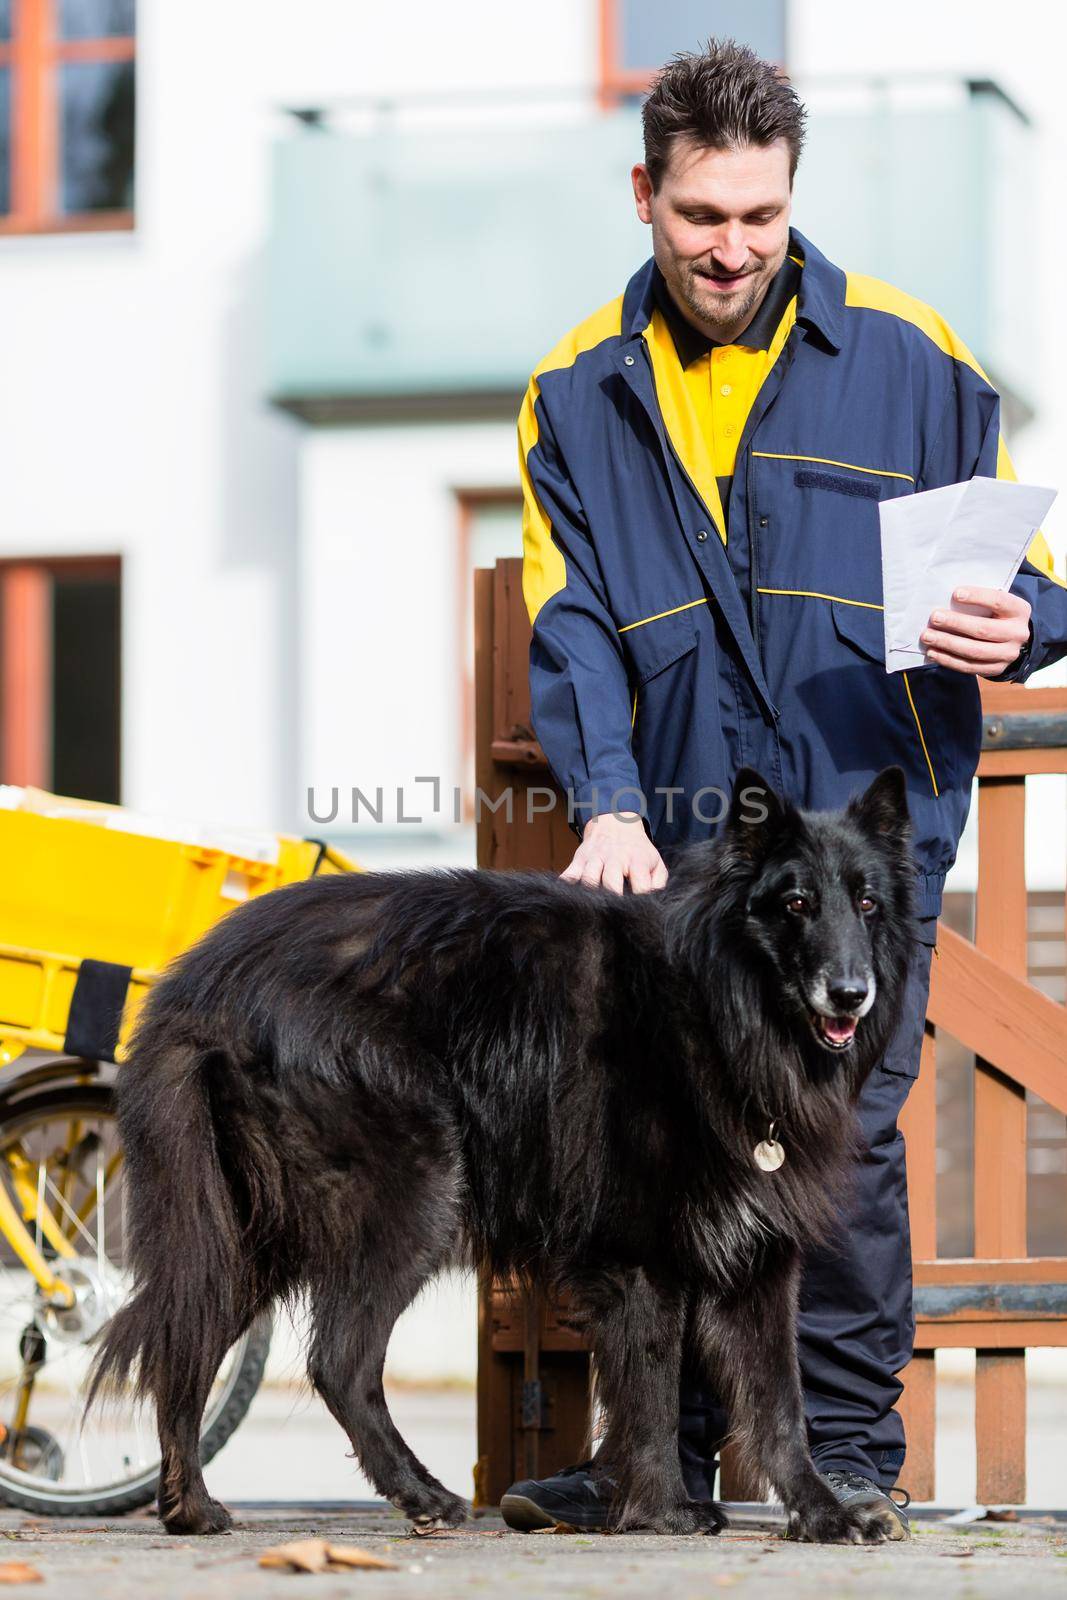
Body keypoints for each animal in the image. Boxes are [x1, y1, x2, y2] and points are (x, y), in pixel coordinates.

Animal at [87, 768, 915, 1542]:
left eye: (867, 905)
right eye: (795, 904)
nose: (851, 993)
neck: (713, 1002)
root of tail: (203, 979)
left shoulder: (757, 1263)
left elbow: (779, 1406)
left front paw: (822, 1514)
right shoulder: (641, 1257)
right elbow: (652, 1391)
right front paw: (663, 1512)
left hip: (251, 1237)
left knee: (185, 1347)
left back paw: (190, 1509)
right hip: (414, 1196)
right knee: (338, 1362)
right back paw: (421, 1495)